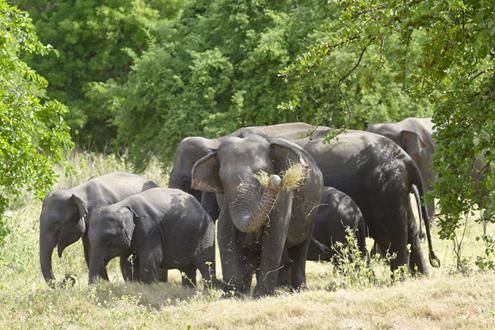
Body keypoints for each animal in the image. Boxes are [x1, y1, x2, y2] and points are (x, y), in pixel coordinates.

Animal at [87, 187, 219, 288]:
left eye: (108, 239)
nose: (97, 286)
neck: (121, 205)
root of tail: (201, 207)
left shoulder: (148, 228)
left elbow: (151, 258)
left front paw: (148, 289)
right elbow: (127, 262)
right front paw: (134, 286)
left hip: (206, 234)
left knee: (205, 264)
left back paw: (208, 292)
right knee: (187, 269)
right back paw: (188, 290)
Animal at [191, 134, 326, 296]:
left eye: (261, 173)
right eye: (222, 179)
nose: (274, 179)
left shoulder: (285, 195)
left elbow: (274, 235)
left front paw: (260, 295)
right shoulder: (226, 200)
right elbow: (224, 233)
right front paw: (232, 294)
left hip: (311, 214)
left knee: (300, 248)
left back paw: (297, 290)